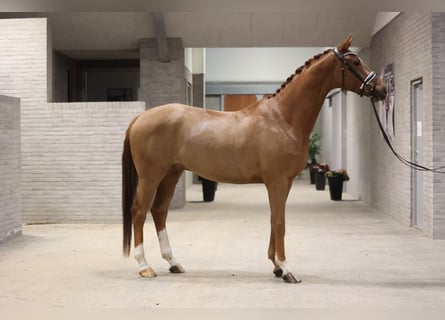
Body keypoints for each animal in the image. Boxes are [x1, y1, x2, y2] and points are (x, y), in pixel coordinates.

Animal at [121, 36, 386, 284]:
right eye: (354, 62)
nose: (381, 89)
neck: (282, 118)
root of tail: (140, 118)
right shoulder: (277, 182)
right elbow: (279, 222)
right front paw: (287, 270)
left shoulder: (284, 182)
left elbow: (273, 219)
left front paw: (276, 266)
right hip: (151, 176)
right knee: (139, 211)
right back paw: (145, 266)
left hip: (171, 173)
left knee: (159, 211)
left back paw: (173, 263)